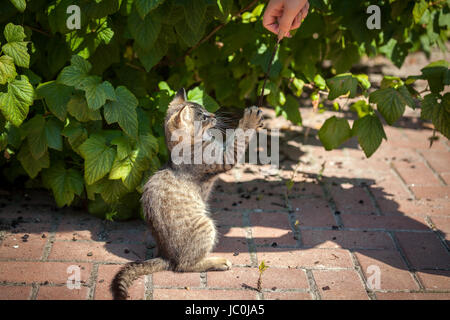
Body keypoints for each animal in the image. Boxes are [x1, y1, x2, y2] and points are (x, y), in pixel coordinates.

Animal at [110, 88, 262, 300]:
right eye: (203, 116)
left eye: (206, 110)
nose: (214, 115)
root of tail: (165, 255)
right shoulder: (223, 158)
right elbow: (238, 140)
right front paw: (249, 120)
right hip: (206, 226)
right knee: (183, 266)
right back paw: (218, 261)